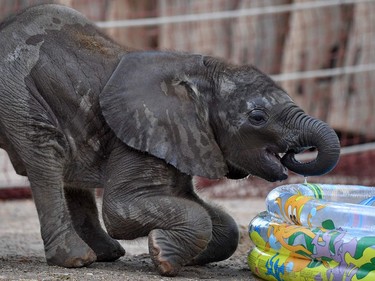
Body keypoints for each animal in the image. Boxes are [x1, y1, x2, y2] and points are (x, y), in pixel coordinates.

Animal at [0, 3, 340, 276]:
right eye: (258, 117)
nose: (296, 154)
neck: (197, 75)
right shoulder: (140, 137)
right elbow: (121, 210)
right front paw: (162, 256)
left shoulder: (183, 140)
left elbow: (219, 221)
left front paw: (177, 253)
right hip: (19, 91)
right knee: (45, 153)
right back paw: (78, 260)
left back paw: (106, 254)